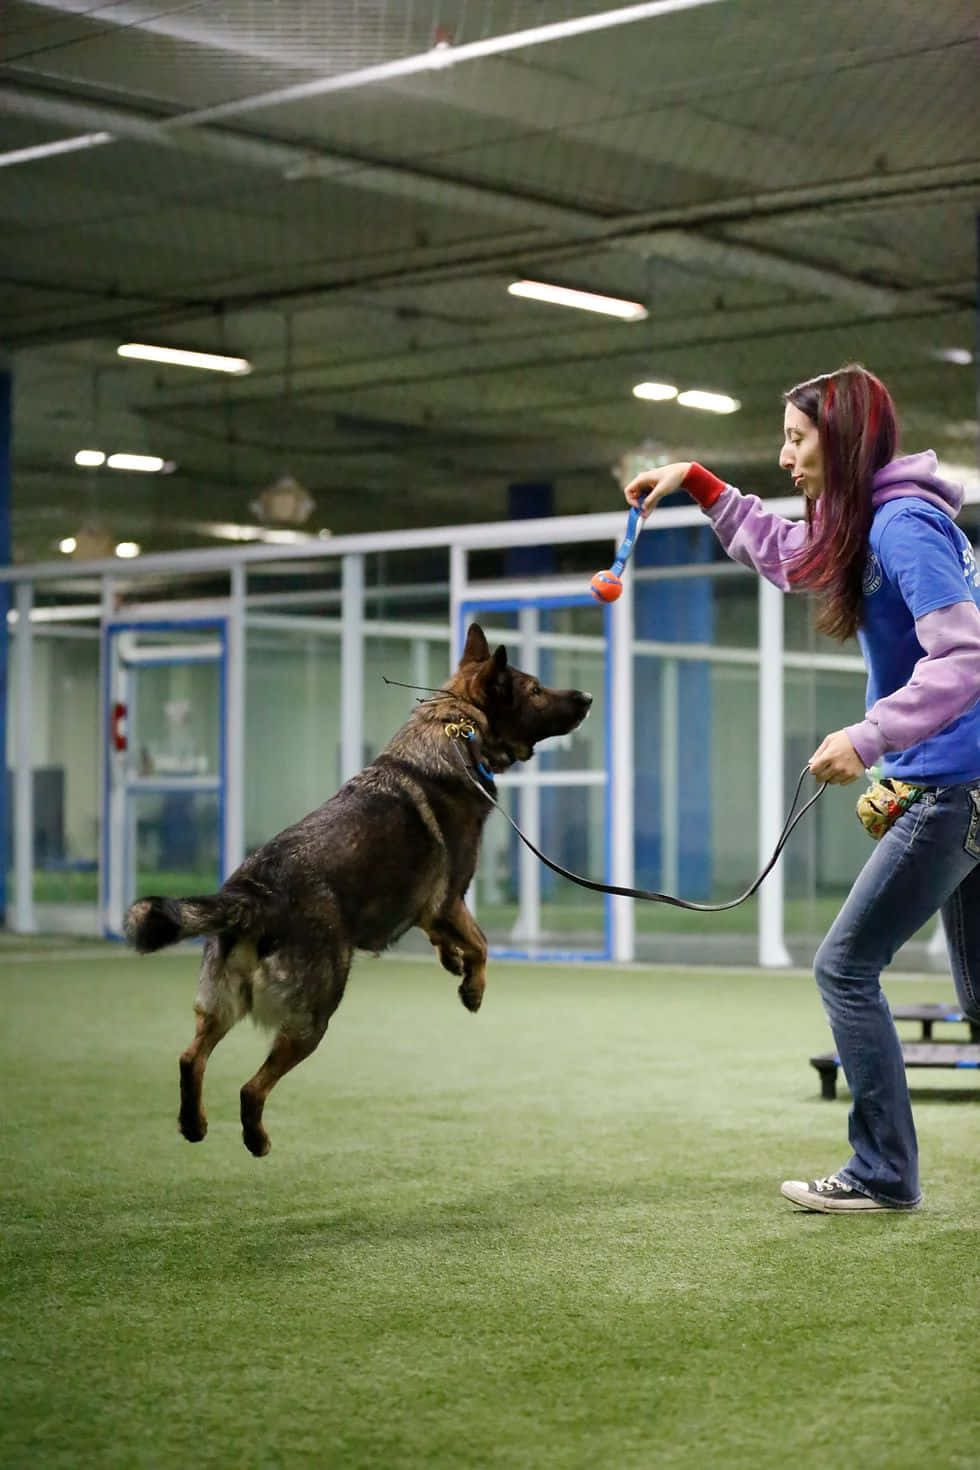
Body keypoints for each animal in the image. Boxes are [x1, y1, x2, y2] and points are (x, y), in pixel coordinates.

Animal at [126, 626, 593, 1152]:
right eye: (535, 690)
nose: (587, 697)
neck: (457, 733)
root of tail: (253, 893)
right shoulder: (450, 897)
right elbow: (482, 944)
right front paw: (472, 987)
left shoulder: (430, 908)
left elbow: (448, 938)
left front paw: (451, 961)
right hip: (315, 1014)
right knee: (251, 1087)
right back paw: (255, 1138)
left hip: (223, 1007)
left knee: (191, 1058)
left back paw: (194, 1123)